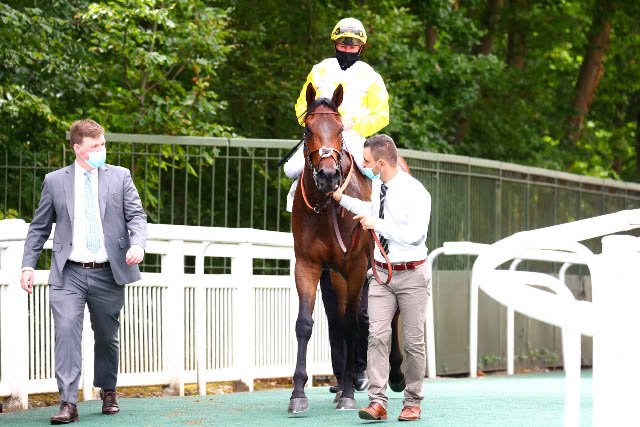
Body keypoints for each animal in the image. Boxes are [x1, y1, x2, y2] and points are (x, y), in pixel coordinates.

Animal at [288, 83, 406, 414]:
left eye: (340, 130)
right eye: (308, 129)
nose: (329, 176)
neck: (327, 206)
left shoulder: (355, 266)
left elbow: (355, 324)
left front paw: (350, 394)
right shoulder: (308, 264)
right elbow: (305, 323)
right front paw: (298, 393)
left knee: (391, 314)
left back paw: (393, 375)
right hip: (338, 275)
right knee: (339, 319)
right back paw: (342, 383)